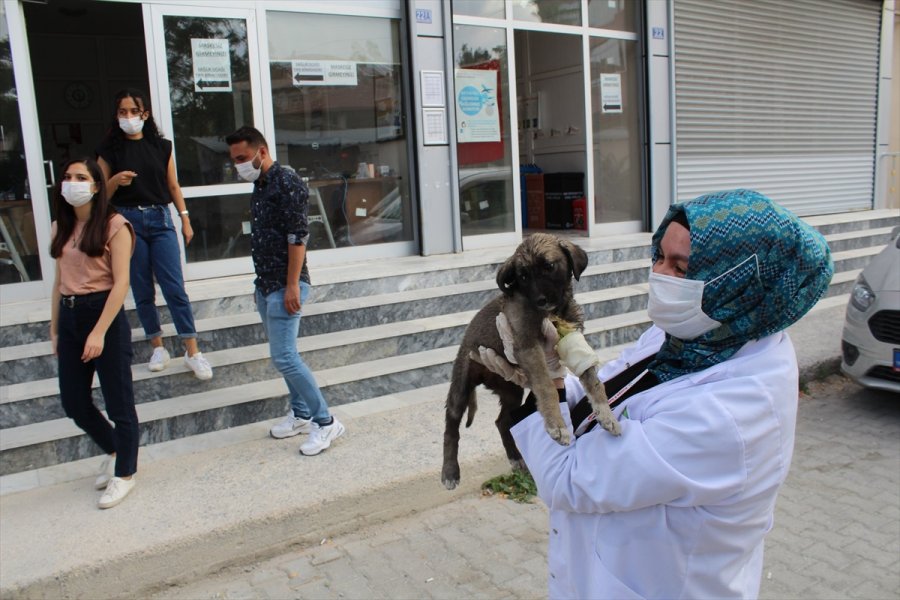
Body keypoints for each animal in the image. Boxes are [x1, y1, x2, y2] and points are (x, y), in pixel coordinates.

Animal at [442, 232, 620, 490]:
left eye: (549, 266)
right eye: (523, 276)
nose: (540, 300)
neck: (553, 312)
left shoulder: (572, 336)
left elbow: (594, 382)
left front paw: (607, 416)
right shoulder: (528, 347)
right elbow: (547, 387)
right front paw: (557, 425)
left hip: (511, 391)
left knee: (502, 421)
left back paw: (516, 457)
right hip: (462, 384)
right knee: (451, 426)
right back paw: (450, 472)